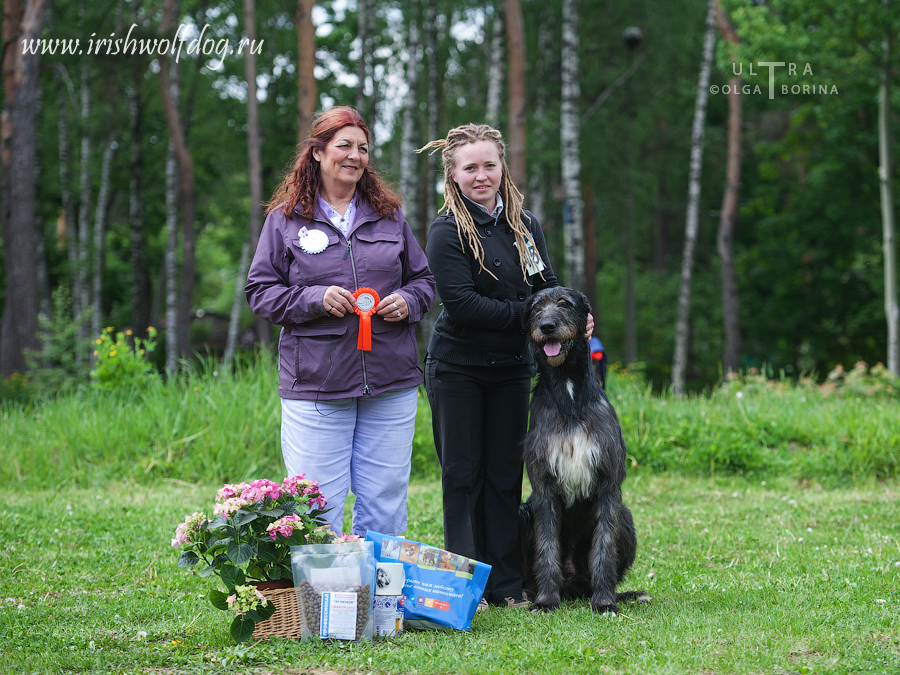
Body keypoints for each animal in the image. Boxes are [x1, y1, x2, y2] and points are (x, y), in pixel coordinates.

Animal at [520, 288, 648, 616]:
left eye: (565, 304)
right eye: (536, 307)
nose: (547, 327)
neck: (568, 393)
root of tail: (572, 586)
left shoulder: (608, 484)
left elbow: (604, 548)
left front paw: (604, 602)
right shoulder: (543, 486)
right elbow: (547, 546)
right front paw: (546, 600)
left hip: (625, 518)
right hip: (524, 512)